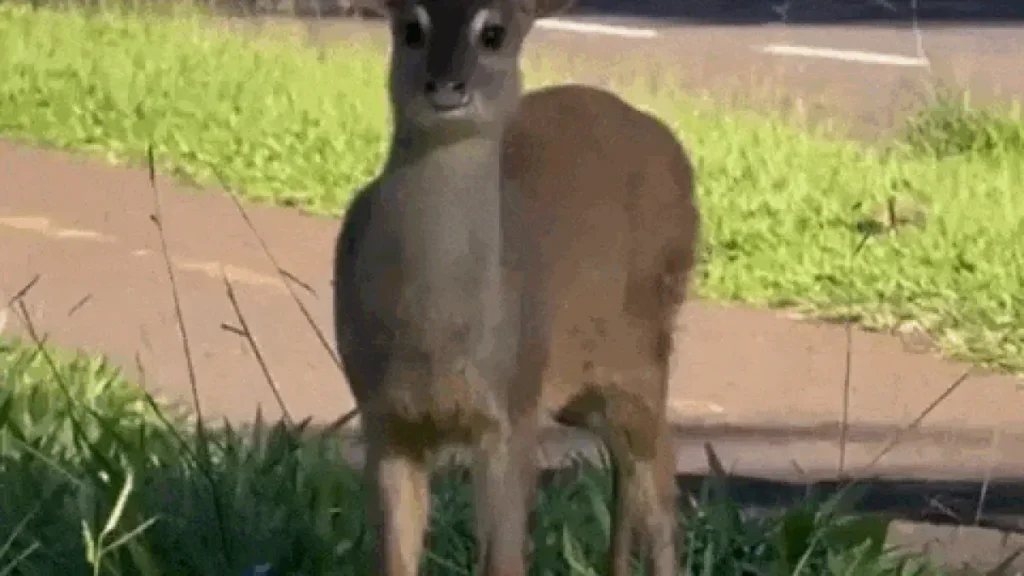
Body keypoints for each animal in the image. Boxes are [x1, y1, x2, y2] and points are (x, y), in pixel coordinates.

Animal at [332, 0, 700, 574]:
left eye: (494, 33)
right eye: (411, 28)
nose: (446, 86)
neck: (436, 337)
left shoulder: (513, 411)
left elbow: (505, 558)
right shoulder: (383, 415)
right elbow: (395, 558)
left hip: (644, 349)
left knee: (660, 467)